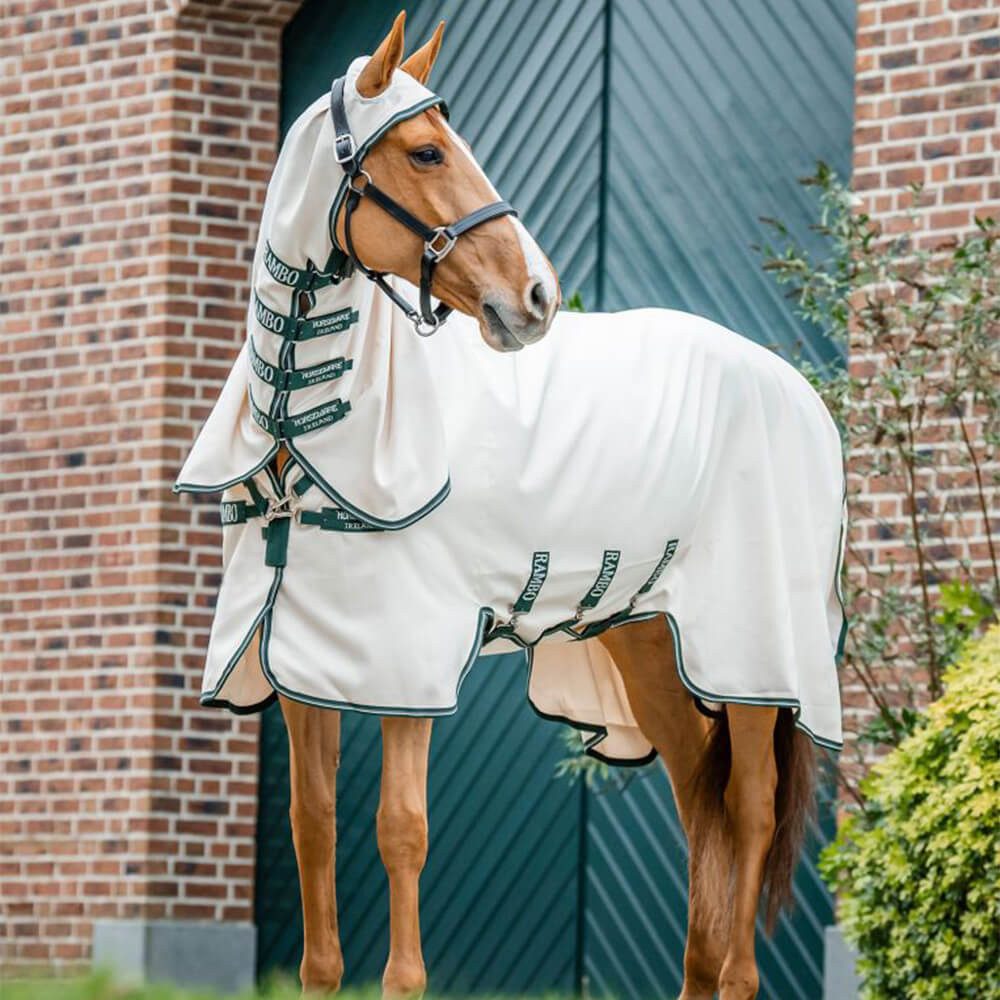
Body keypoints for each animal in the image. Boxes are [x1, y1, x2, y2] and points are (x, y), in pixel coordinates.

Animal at [176, 13, 846, 1000]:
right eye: (424, 150)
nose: (537, 297)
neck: (311, 430)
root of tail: (796, 389)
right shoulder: (305, 662)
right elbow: (313, 833)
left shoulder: (403, 664)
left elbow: (401, 831)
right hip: (648, 641)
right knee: (701, 805)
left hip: (757, 658)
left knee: (750, 813)